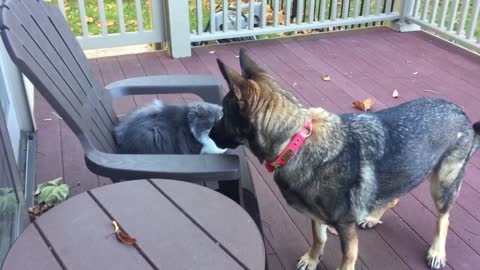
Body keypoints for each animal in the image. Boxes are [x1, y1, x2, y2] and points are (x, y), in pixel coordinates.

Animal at [211, 49, 480, 270]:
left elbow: (346, 258)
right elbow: (319, 238)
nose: (211, 134)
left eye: (224, 114)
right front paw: (312, 259)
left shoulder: (345, 229)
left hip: (442, 184)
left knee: (443, 217)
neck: (296, 142)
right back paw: (373, 216)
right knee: (395, 194)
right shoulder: (317, 216)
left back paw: (437, 251)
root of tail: (461, 114)